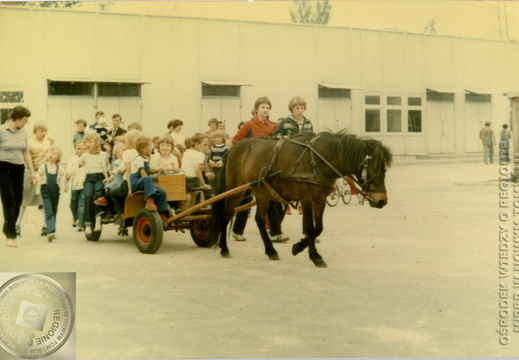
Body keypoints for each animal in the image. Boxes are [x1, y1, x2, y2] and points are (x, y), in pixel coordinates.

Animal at [209, 131, 392, 266]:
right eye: (372, 167)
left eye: (384, 169)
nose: (381, 200)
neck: (318, 159)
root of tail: (233, 148)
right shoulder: (306, 199)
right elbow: (310, 228)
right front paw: (315, 256)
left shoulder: (320, 200)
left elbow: (319, 228)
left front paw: (298, 246)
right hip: (235, 190)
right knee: (226, 215)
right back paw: (224, 248)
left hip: (262, 193)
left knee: (259, 220)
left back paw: (271, 251)